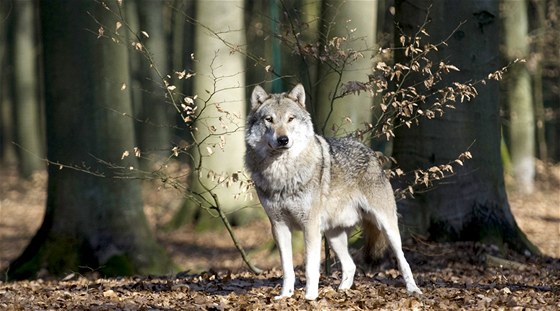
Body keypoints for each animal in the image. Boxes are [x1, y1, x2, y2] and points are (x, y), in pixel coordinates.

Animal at [243, 83, 422, 302]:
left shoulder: (310, 226)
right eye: (269, 119)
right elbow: (287, 268)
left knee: (403, 260)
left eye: (290, 118)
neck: (282, 173)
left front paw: (310, 297)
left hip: (386, 227)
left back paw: (413, 290)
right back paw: (342, 292)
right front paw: (285, 296)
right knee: (351, 266)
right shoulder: (278, 226)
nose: (283, 139)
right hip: (333, 235)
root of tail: (371, 152)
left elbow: (311, 268)